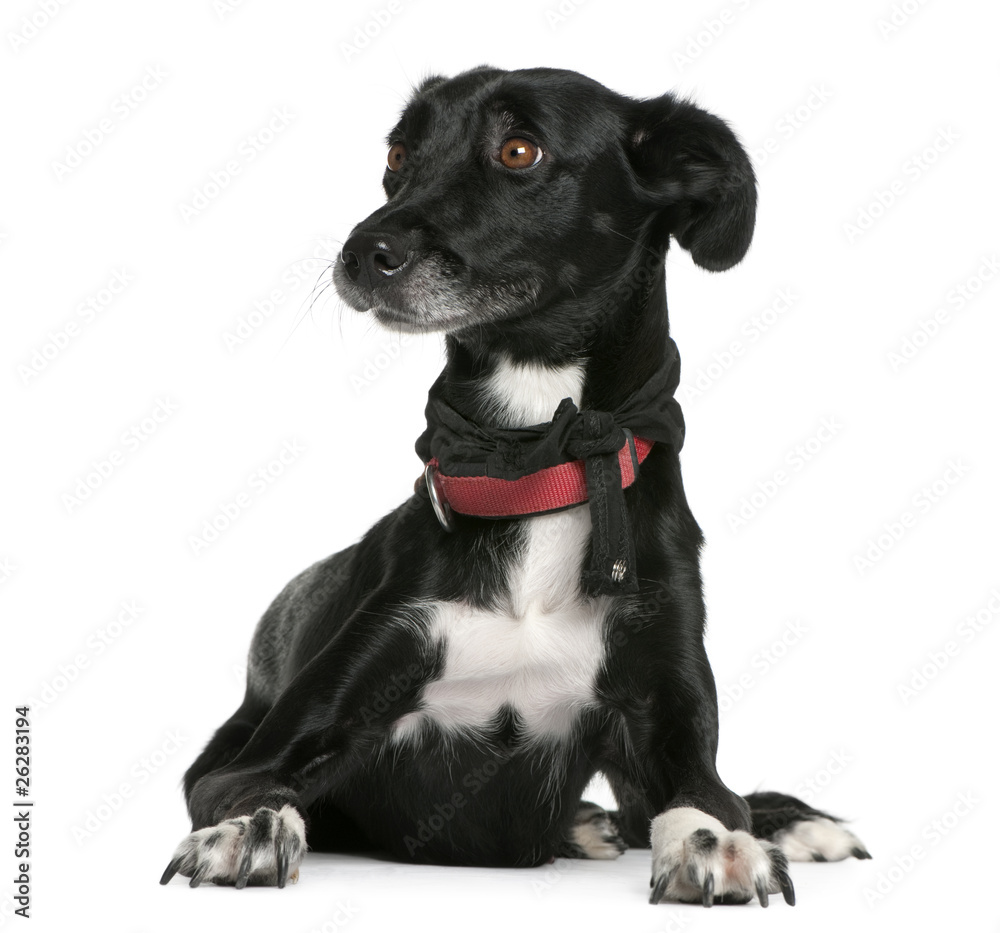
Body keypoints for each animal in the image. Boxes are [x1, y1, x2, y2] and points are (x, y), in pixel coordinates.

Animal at [158, 65, 868, 904]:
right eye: (399, 154)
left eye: (518, 150)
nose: (362, 252)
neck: (538, 465)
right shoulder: (264, 747)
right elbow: (252, 788)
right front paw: (250, 829)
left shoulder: (669, 707)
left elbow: (710, 799)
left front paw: (719, 843)